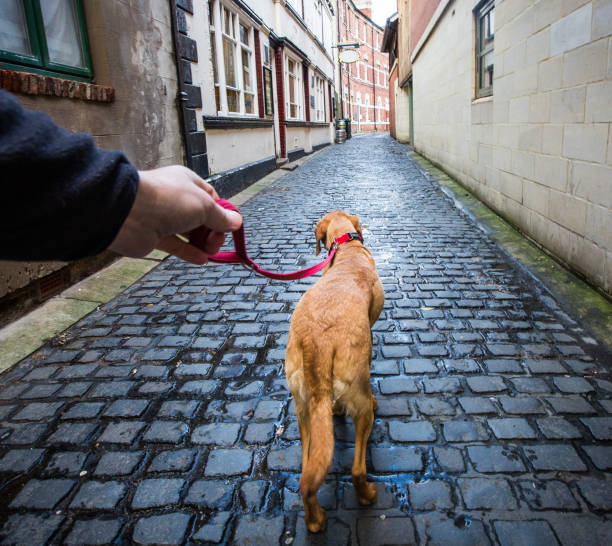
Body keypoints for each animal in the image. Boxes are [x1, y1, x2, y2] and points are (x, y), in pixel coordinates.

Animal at [284, 209, 384, 532]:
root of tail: (317, 341)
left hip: (304, 411)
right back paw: (367, 495)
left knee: (306, 477)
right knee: (357, 470)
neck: (346, 248)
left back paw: (315, 520)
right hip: (361, 404)